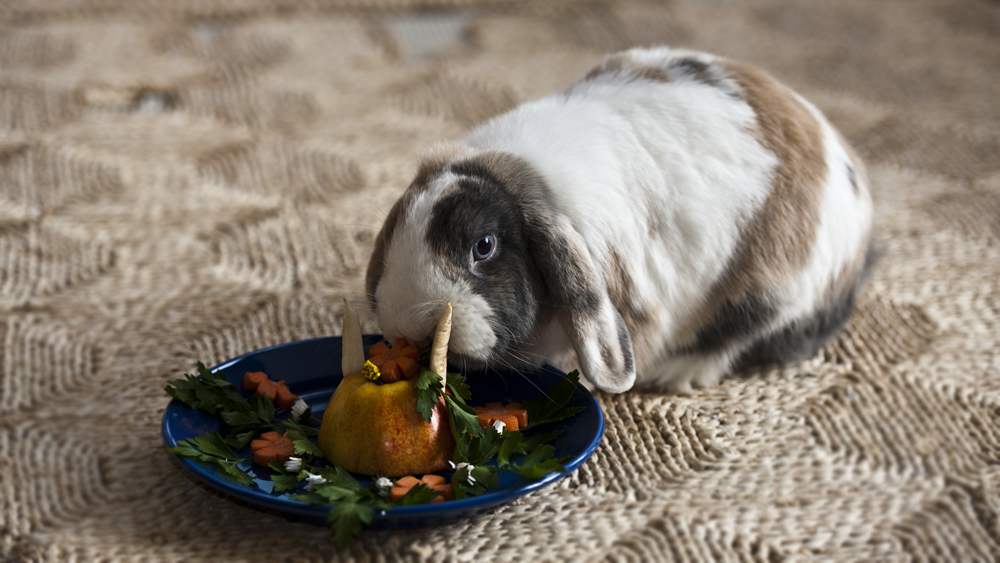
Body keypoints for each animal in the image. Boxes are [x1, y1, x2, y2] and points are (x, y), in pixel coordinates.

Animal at [364, 46, 872, 394]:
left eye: (483, 246)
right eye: (397, 227)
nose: (410, 324)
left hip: (777, 285)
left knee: (745, 334)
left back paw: (677, 371)